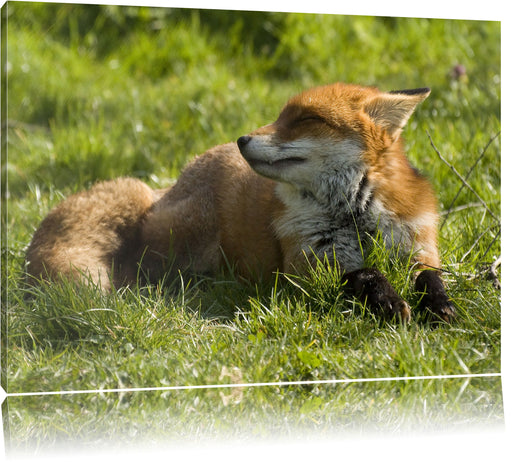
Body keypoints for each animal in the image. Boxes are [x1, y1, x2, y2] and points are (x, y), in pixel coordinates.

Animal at [26, 82, 454, 322]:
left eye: (305, 120)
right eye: (280, 116)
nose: (242, 139)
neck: (353, 216)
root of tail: (164, 188)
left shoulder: (417, 244)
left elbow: (430, 276)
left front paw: (440, 305)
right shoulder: (306, 269)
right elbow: (365, 274)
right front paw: (389, 302)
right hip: (191, 238)